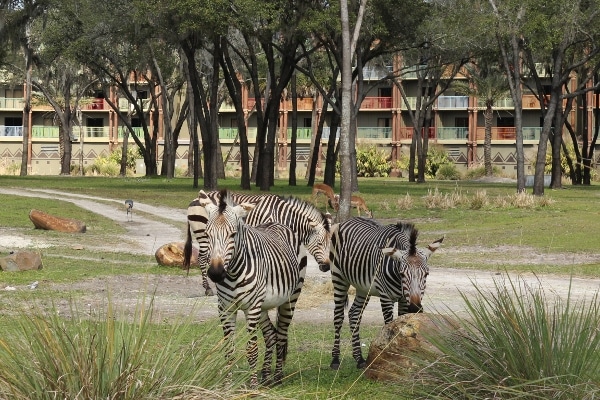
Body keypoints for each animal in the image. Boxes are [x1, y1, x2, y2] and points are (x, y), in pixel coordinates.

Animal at [183, 189, 338, 296]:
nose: (327, 267)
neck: (284, 216)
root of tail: (194, 200)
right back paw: (208, 288)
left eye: (330, 244)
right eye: (319, 244)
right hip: (204, 234)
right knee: (203, 258)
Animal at [199, 191, 308, 388]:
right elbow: (229, 349)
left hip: (290, 298)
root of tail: (278, 223)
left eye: (233, 234)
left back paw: (277, 377)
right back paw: (265, 376)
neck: (233, 272)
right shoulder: (225, 308)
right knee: (271, 334)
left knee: (281, 334)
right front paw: (227, 386)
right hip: (262, 306)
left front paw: (253, 386)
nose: (216, 274)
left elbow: (251, 349)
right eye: (207, 234)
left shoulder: (251, 308)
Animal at [326, 217, 442, 370]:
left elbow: (401, 325)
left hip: (363, 288)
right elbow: (389, 326)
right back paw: (335, 359)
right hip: (338, 277)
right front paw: (389, 360)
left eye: (427, 274)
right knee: (338, 316)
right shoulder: (386, 297)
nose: (415, 308)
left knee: (354, 314)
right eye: (402, 274)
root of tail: (347, 220)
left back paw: (359, 359)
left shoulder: (404, 300)